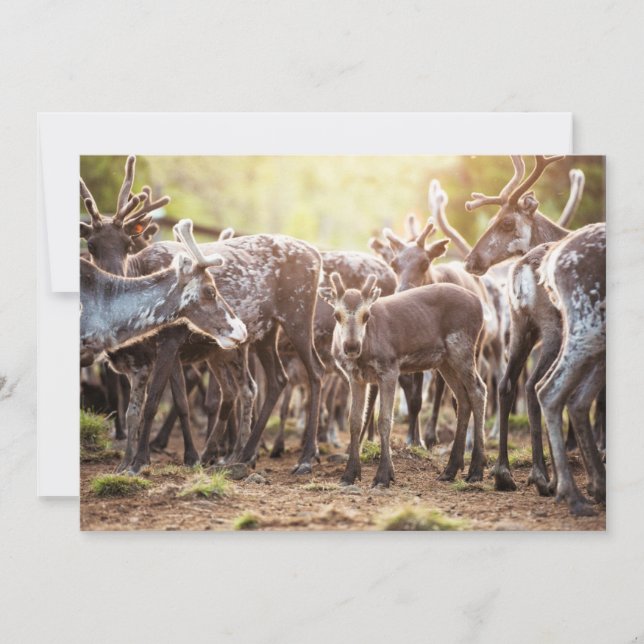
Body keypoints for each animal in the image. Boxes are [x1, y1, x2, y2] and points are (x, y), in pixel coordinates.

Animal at [322, 274, 487, 487]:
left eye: (366, 315)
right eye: (336, 315)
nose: (351, 346)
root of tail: (479, 304)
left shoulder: (389, 369)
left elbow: (384, 420)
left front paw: (384, 475)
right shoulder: (355, 377)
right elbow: (355, 421)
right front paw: (349, 474)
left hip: (462, 347)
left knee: (478, 391)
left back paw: (476, 469)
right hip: (445, 360)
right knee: (462, 398)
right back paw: (450, 469)